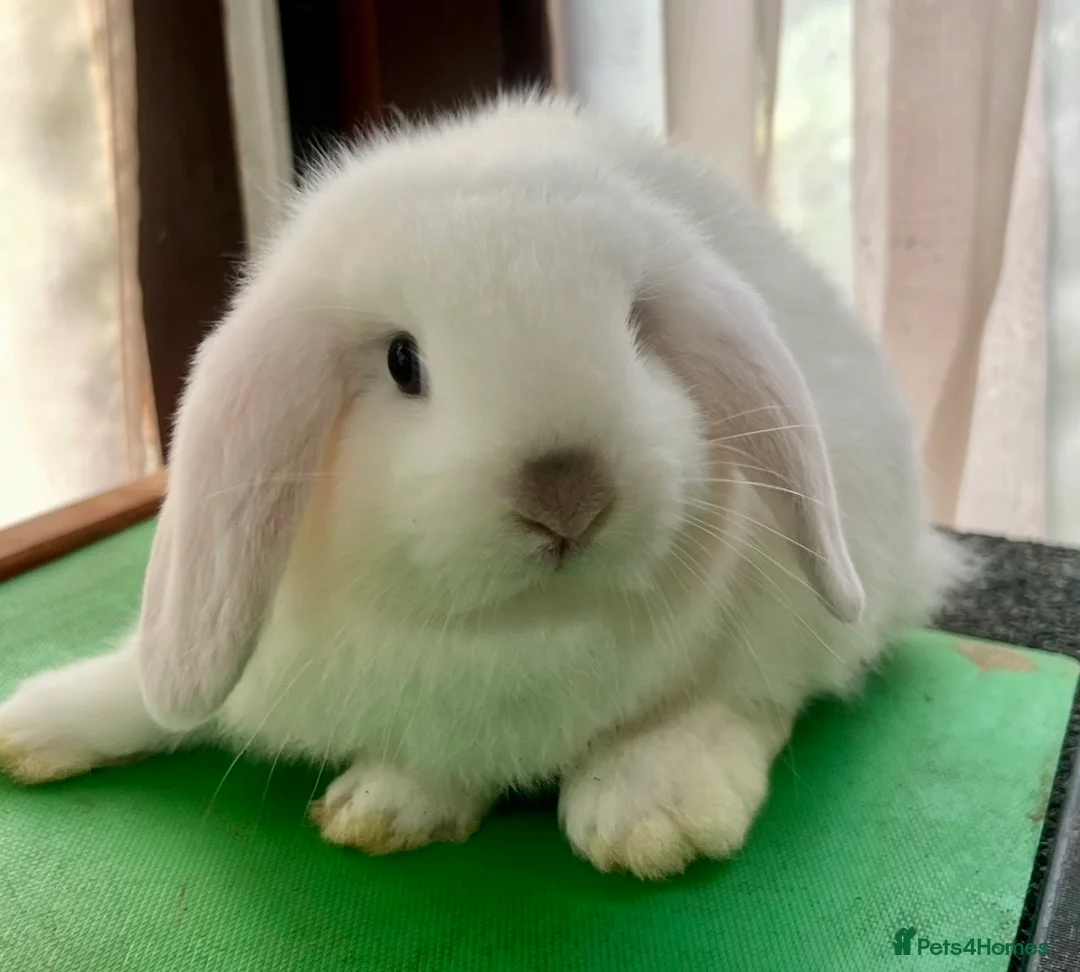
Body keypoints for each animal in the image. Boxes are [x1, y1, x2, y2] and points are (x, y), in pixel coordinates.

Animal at [0, 92, 964, 879]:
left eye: (637, 330)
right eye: (403, 361)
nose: (569, 496)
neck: (512, 634)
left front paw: (394, 800)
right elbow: (150, 697)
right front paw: (32, 728)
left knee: (769, 690)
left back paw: (651, 809)